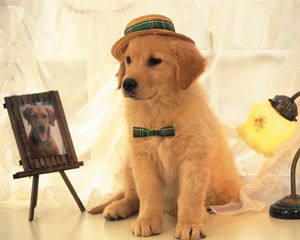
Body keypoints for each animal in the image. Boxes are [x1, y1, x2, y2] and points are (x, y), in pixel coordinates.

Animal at [90, 34, 243, 239]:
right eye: (128, 60)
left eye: (155, 61)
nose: (127, 84)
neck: (159, 109)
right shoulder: (142, 156)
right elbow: (148, 193)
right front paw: (146, 221)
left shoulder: (194, 156)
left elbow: (190, 196)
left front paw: (190, 223)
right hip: (128, 164)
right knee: (133, 195)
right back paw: (118, 207)